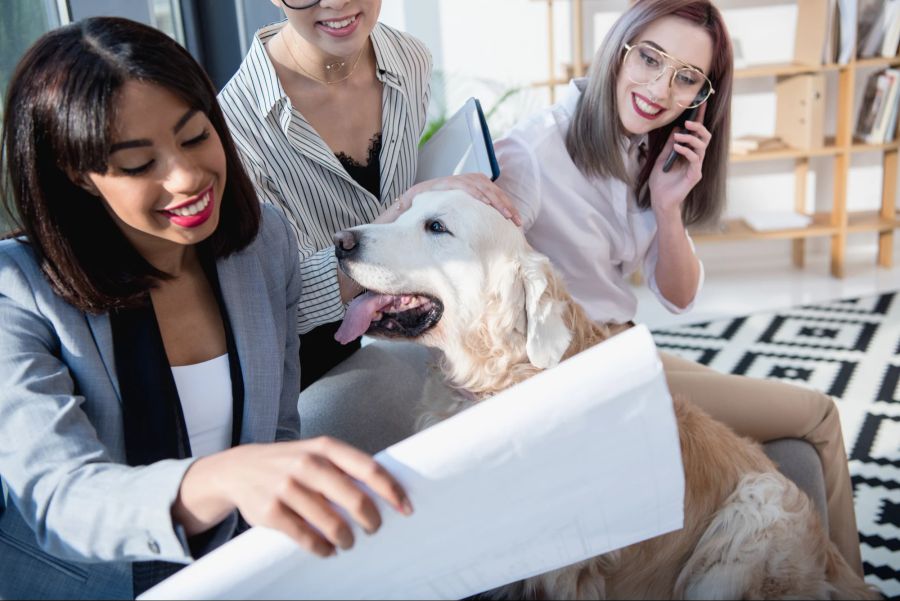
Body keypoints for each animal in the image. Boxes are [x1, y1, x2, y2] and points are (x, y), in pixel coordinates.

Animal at [332, 190, 880, 596]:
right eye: (404, 212)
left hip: (751, 513)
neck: (498, 383)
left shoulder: (563, 569)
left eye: (436, 227)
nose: (340, 241)